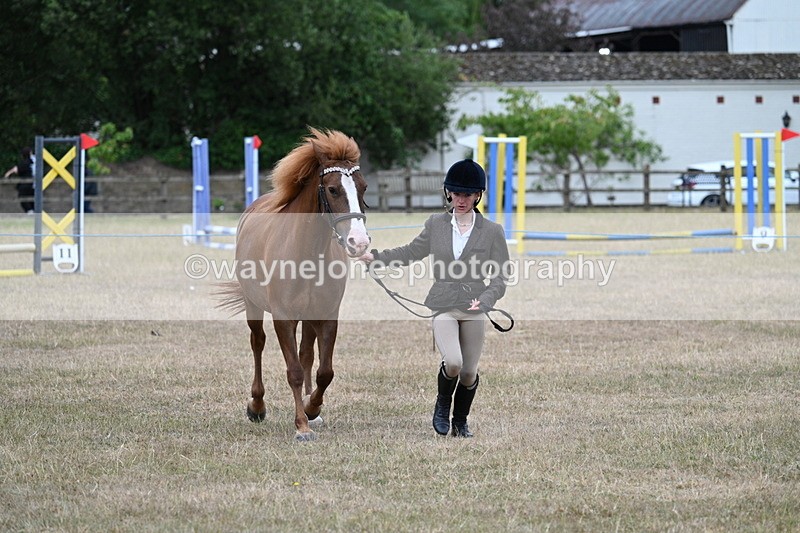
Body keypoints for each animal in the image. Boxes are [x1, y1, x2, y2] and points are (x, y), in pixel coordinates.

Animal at [217, 128, 371, 441]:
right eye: (333, 189)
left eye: (363, 188)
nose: (359, 242)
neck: (306, 251)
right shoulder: (283, 318)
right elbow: (294, 371)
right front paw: (301, 425)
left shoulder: (327, 315)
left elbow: (324, 371)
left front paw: (312, 410)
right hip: (254, 306)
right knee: (258, 343)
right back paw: (257, 405)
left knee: (307, 354)